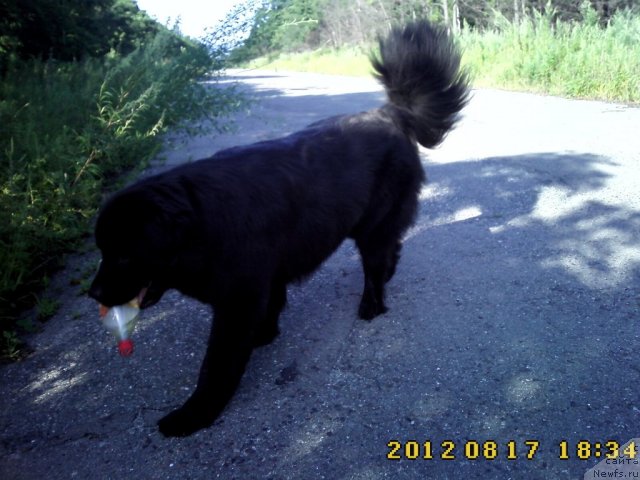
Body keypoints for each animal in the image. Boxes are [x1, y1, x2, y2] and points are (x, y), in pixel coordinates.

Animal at [89, 20, 470, 436]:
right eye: (102, 251)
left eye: (124, 254)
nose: (93, 294)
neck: (202, 224)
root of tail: (391, 113)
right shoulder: (262, 281)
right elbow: (270, 309)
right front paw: (265, 336)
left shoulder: (237, 302)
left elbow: (217, 366)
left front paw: (194, 414)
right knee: (391, 250)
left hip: (371, 226)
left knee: (376, 262)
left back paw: (371, 304)